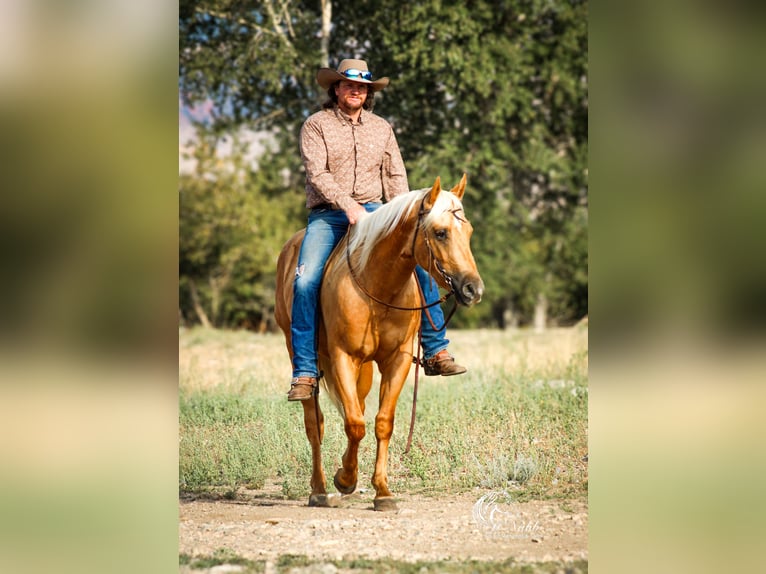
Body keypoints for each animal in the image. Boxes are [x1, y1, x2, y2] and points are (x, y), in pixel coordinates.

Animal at [274, 175, 484, 511]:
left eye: (469, 232)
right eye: (440, 232)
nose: (473, 289)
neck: (378, 285)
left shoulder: (397, 360)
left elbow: (381, 422)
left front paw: (382, 491)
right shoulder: (343, 357)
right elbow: (354, 424)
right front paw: (345, 480)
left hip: (364, 371)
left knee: (354, 408)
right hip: (301, 355)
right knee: (315, 423)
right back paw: (319, 489)